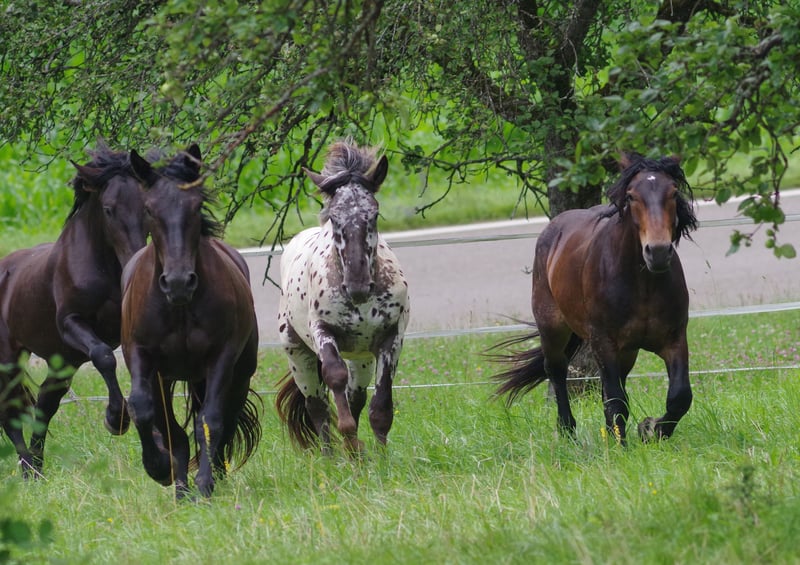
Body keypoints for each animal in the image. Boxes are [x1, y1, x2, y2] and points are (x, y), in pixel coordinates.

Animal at [0, 145, 147, 477]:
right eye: (108, 209)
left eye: (145, 205)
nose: (135, 261)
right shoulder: (70, 323)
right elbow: (104, 357)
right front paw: (116, 419)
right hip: (9, 359)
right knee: (10, 411)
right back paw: (28, 469)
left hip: (63, 361)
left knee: (44, 403)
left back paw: (37, 468)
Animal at [122, 145, 261, 500]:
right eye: (149, 209)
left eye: (196, 206)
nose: (178, 283)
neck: (180, 310)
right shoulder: (142, 356)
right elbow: (143, 409)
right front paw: (160, 470)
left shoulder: (221, 358)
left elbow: (210, 420)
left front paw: (206, 484)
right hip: (166, 376)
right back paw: (180, 487)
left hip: (239, 375)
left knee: (223, 419)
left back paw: (211, 477)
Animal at [275, 140, 410, 455]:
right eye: (335, 217)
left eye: (374, 214)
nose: (358, 286)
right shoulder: (323, 332)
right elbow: (334, 377)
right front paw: (349, 439)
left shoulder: (391, 338)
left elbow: (380, 406)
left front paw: (380, 457)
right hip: (297, 353)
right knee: (317, 406)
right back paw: (330, 456)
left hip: (361, 358)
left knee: (355, 397)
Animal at [492, 153, 698, 443]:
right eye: (631, 195)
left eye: (674, 191)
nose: (657, 252)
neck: (642, 285)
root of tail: (552, 229)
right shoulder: (604, 342)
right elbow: (616, 401)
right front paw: (625, 445)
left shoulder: (674, 339)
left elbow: (679, 396)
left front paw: (651, 429)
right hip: (553, 328)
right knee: (556, 370)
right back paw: (567, 430)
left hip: (627, 351)